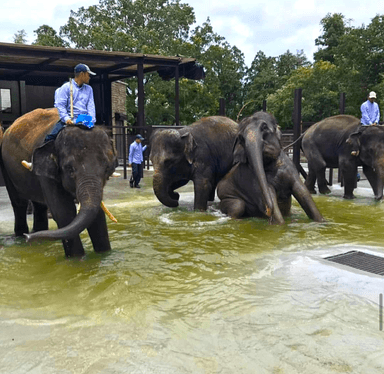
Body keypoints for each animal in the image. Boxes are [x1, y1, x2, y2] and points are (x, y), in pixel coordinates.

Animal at [0, 106, 118, 256]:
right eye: (69, 169)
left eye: (107, 168)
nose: (28, 238)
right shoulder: (47, 171)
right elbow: (64, 213)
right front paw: (78, 259)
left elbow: (97, 214)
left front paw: (104, 255)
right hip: (5, 166)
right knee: (18, 203)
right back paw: (21, 236)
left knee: (39, 204)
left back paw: (36, 233)